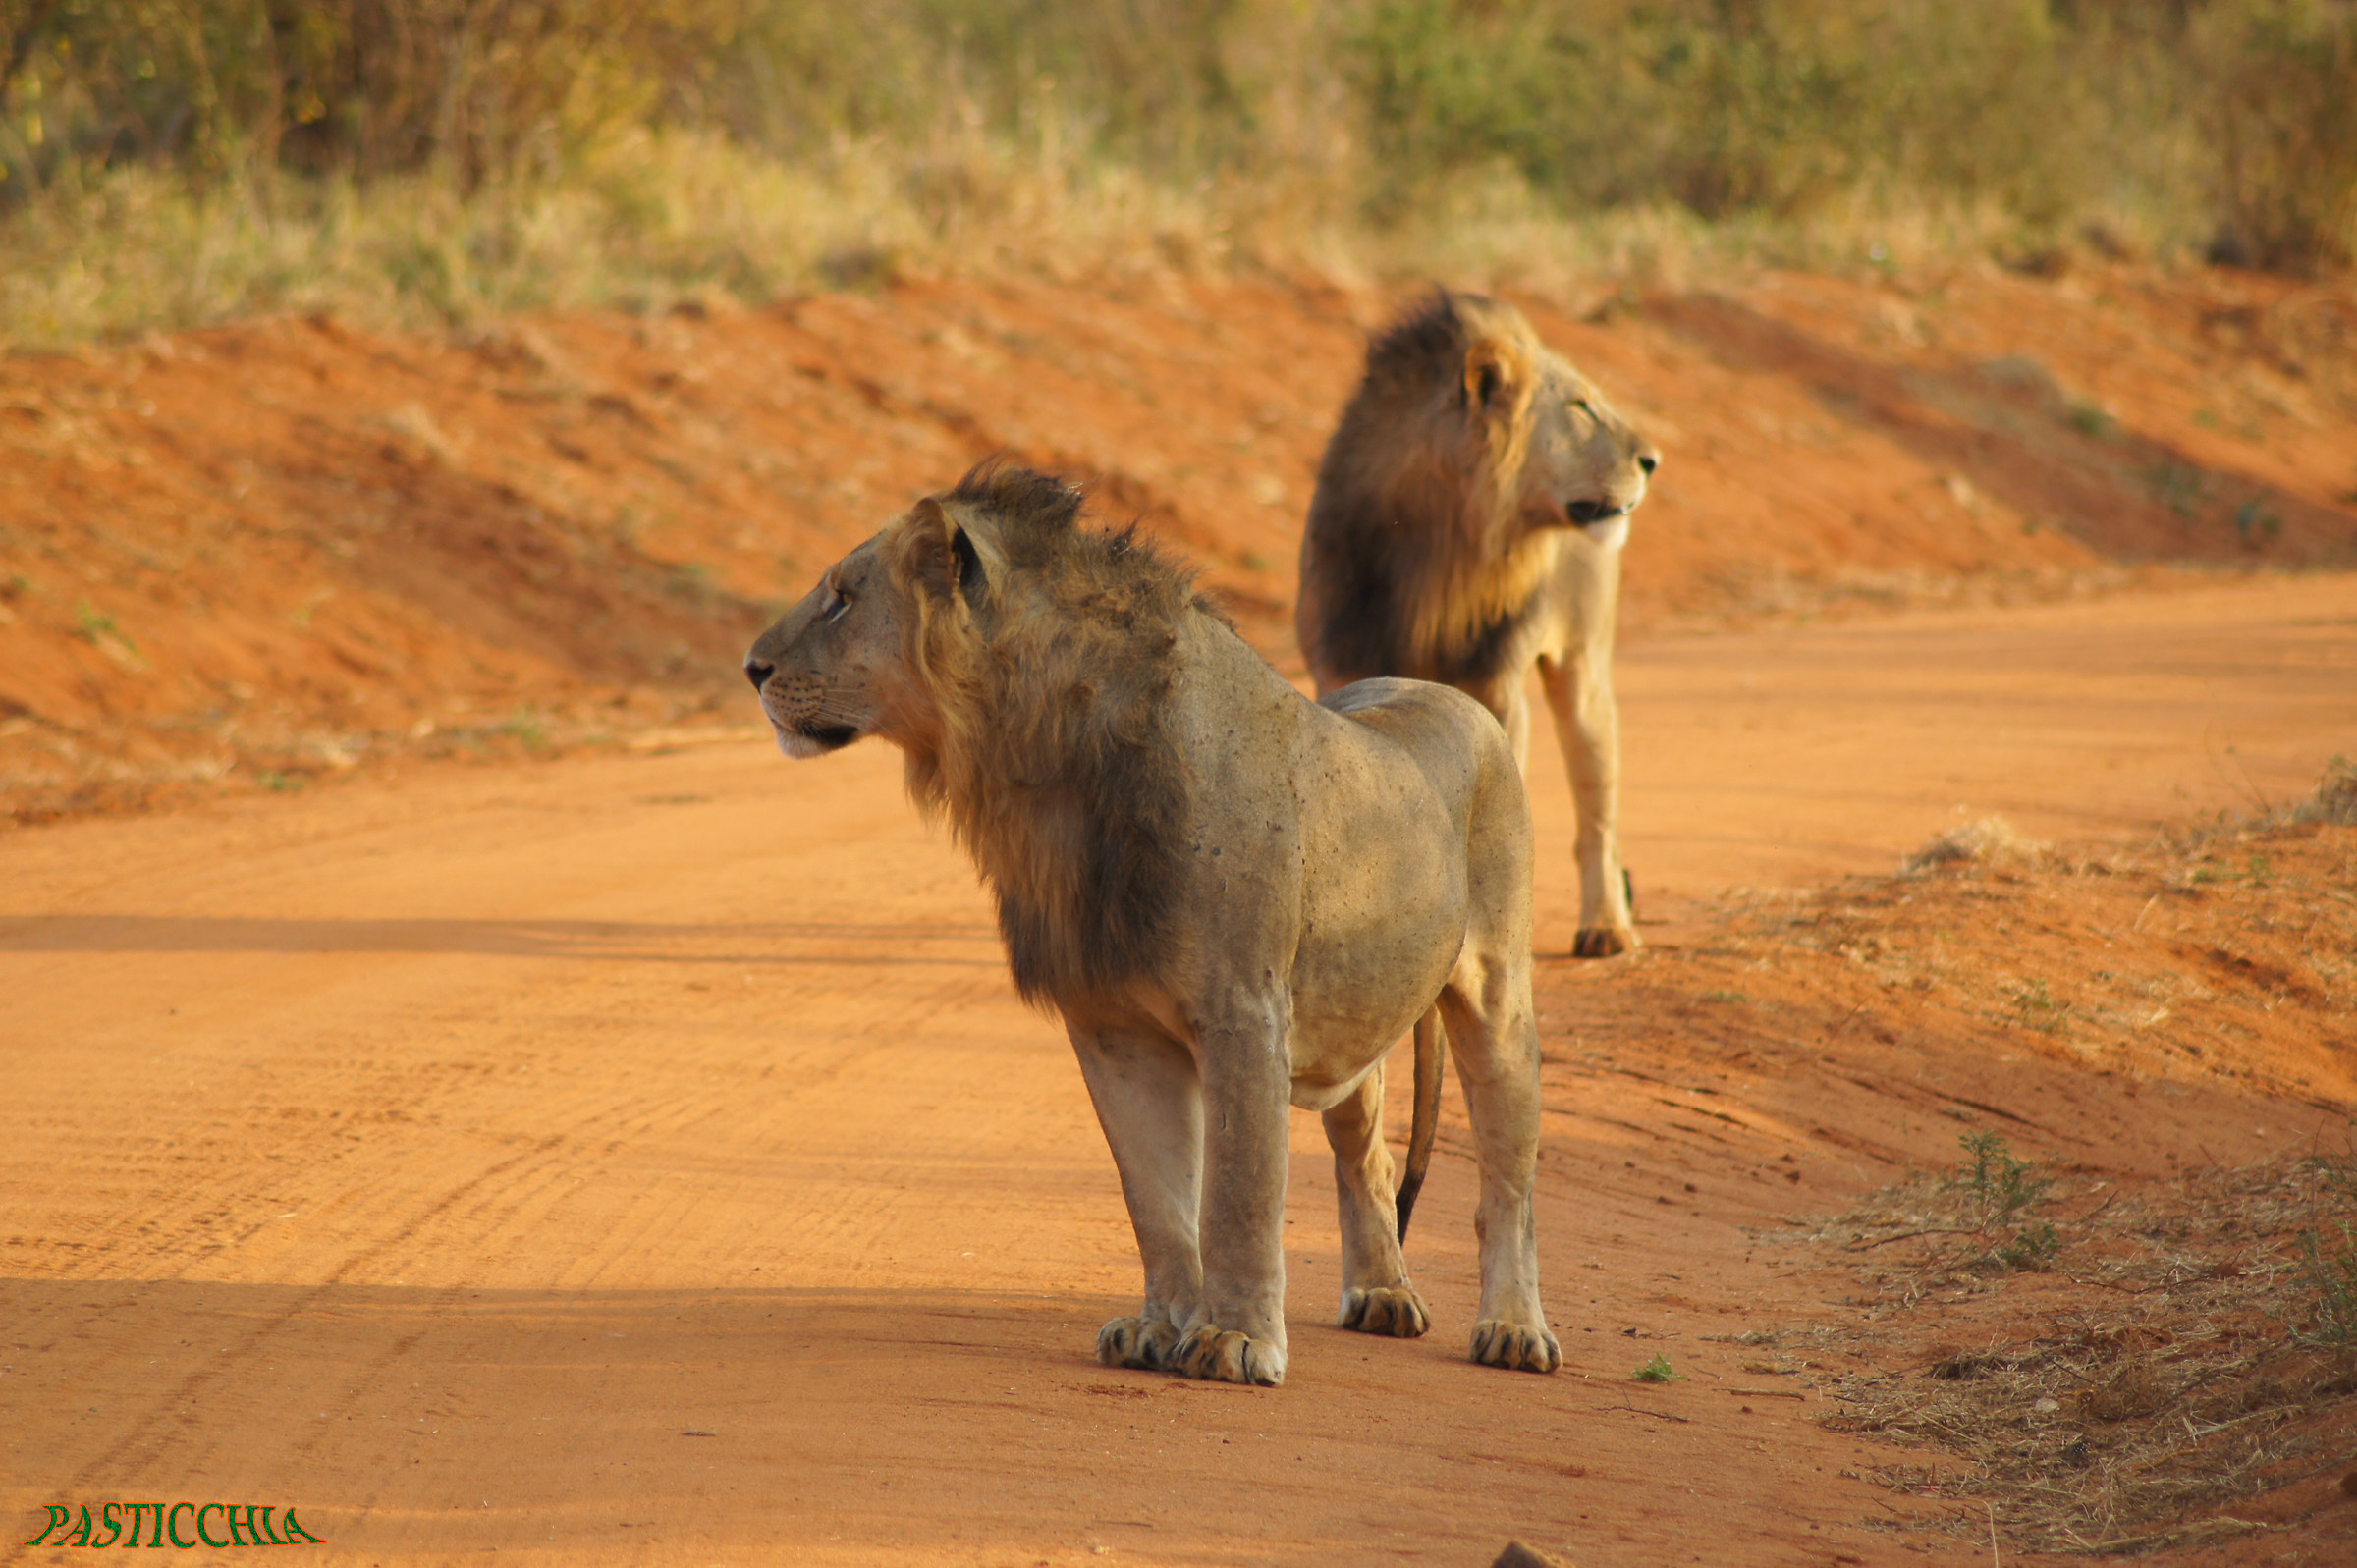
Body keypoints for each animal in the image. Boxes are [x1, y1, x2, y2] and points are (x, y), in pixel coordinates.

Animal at [744, 462, 1560, 1387]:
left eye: (843, 598)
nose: (751, 666)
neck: (1039, 762)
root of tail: (1450, 695)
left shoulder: (1244, 1010)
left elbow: (1238, 1194)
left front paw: (1234, 1338)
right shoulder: (1113, 1025)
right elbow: (1159, 1200)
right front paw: (1159, 1327)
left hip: (1497, 997)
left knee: (1508, 1185)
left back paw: (1514, 1330)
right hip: (1355, 1014)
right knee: (1369, 1154)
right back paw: (1384, 1294)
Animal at [1297, 290, 1660, 957]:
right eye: (1580, 407)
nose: (1653, 459)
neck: (1443, 550)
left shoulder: (1496, 685)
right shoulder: (1343, 667)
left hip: (1583, 671)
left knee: (1597, 817)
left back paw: (1605, 927)